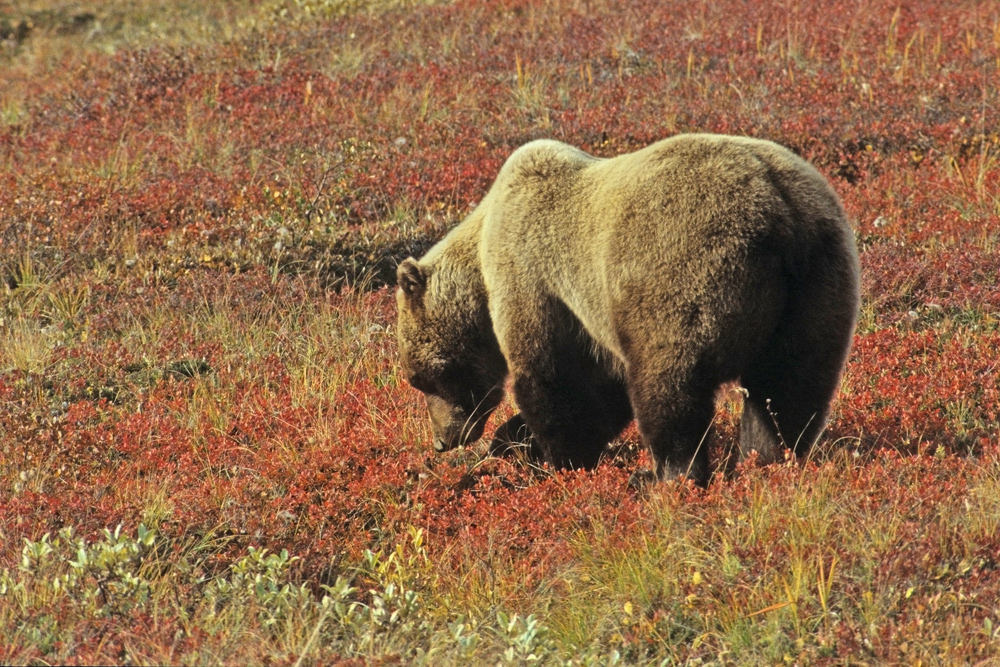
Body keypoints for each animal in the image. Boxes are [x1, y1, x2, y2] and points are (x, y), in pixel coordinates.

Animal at [395, 134, 860, 486]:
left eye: (421, 378)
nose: (442, 441)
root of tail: (779, 210)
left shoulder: (533, 278)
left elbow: (555, 380)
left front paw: (556, 459)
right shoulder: (589, 314)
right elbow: (602, 390)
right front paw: (513, 442)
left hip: (682, 276)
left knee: (670, 385)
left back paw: (664, 475)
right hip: (818, 284)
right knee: (788, 385)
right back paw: (767, 460)